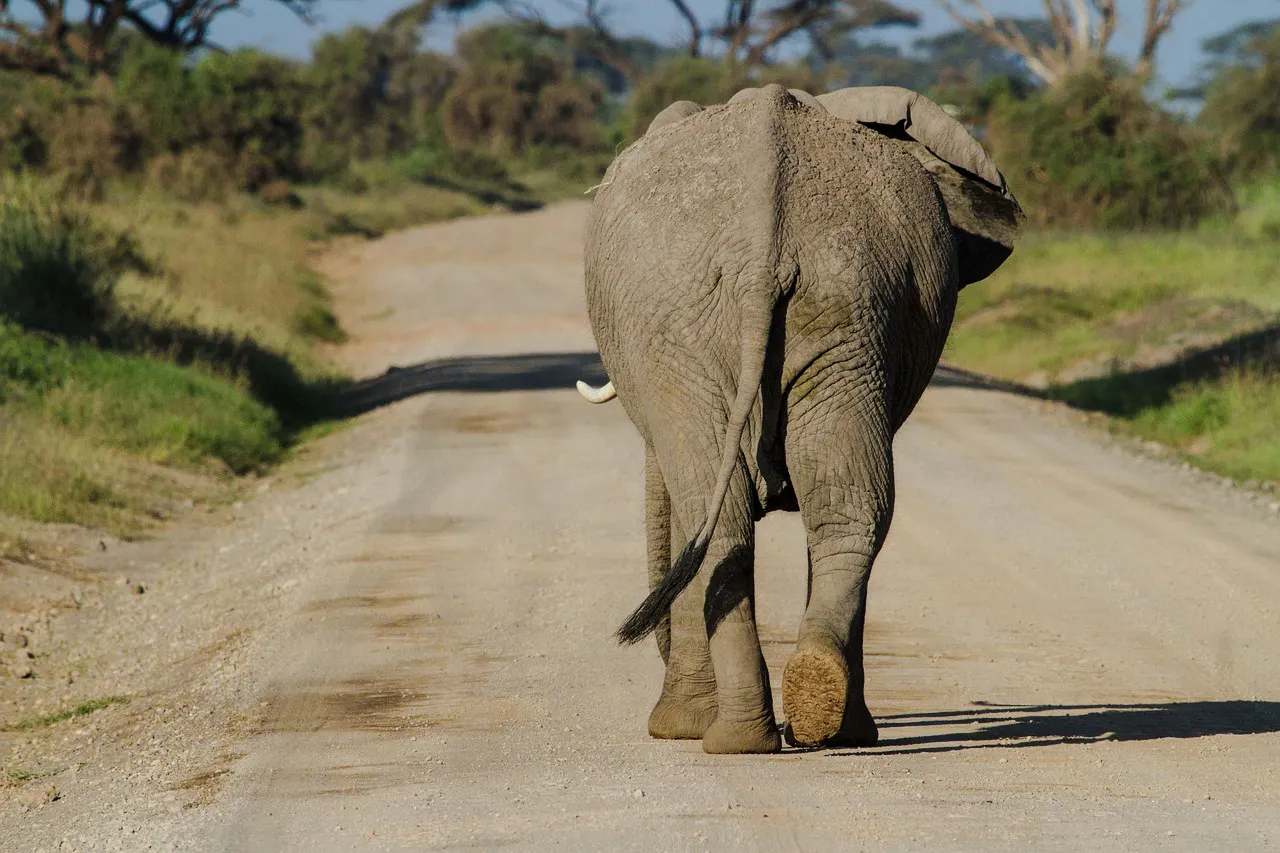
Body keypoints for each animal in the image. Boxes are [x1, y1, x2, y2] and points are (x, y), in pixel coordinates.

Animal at [575, 84, 1024, 754]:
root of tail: (762, 244)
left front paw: (675, 728)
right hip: (845, 307)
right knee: (845, 505)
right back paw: (824, 719)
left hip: (696, 327)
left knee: (722, 514)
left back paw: (733, 738)